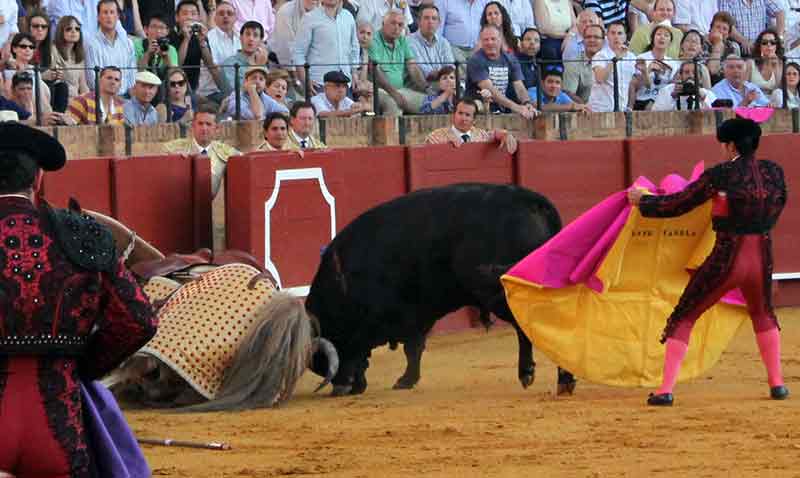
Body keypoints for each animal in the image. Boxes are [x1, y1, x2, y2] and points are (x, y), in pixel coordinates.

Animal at [304, 183, 576, 396]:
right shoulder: (419, 313)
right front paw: (407, 380)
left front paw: (404, 380)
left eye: (335, 335)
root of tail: (531, 201)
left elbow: (407, 347)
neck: (345, 280)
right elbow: (414, 348)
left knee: (530, 326)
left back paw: (536, 374)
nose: (340, 388)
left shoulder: (403, 313)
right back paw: (562, 380)